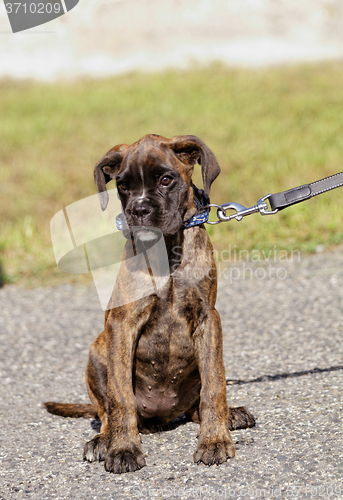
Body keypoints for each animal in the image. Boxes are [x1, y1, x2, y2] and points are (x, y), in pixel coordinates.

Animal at [45, 135, 255, 474]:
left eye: (166, 180)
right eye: (123, 186)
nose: (139, 209)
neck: (167, 249)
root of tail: (161, 417)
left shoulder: (208, 319)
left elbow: (214, 386)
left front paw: (214, 439)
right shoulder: (122, 323)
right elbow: (121, 399)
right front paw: (123, 448)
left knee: (196, 406)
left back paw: (229, 415)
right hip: (97, 349)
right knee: (105, 413)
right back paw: (103, 441)